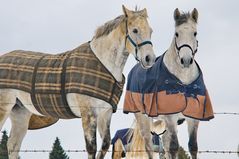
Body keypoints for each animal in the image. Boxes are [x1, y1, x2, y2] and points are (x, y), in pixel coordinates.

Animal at [0, 5, 157, 159]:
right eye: (135, 30)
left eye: (150, 31)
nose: (149, 59)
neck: (104, 64)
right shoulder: (88, 112)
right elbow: (91, 147)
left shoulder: (105, 114)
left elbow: (105, 145)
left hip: (20, 112)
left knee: (13, 145)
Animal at [123, 8, 213, 159]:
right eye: (176, 34)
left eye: (195, 33)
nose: (186, 60)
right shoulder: (170, 116)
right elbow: (174, 147)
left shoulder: (193, 118)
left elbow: (192, 146)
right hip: (143, 118)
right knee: (149, 145)